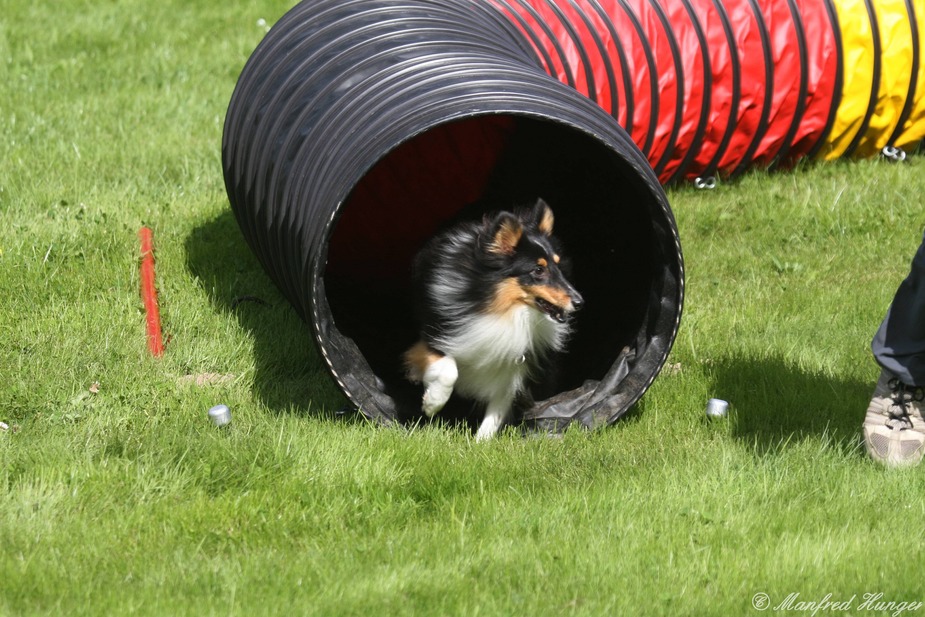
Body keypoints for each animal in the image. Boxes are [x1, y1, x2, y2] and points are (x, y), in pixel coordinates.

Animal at [400, 197, 580, 438]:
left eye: (558, 266)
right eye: (538, 270)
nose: (579, 302)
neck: (502, 311)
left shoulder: (515, 364)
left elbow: (498, 409)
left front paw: (480, 442)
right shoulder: (436, 334)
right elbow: (449, 369)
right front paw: (432, 403)